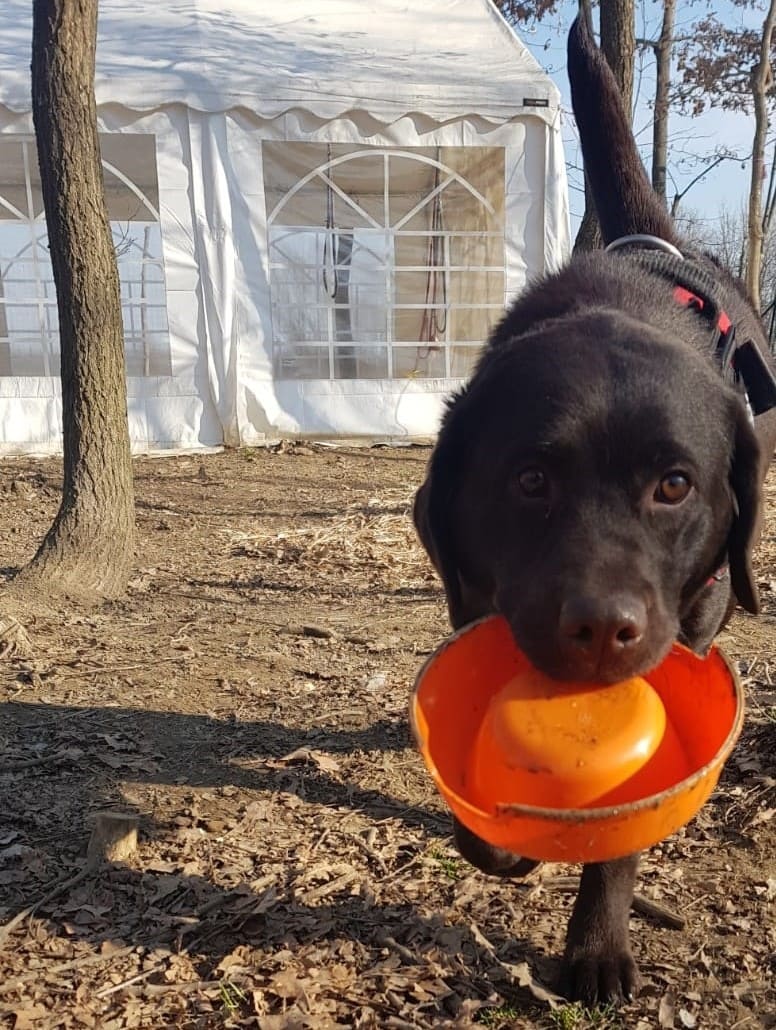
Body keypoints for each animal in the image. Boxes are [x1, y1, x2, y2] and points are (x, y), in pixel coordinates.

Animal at [414, 14, 770, 1005]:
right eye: (531, 481)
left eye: (674, 486)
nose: (604, 629)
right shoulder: (473, 599)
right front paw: (492, 841)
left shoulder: (692, 620)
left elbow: (622, 830)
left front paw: (598, 944)